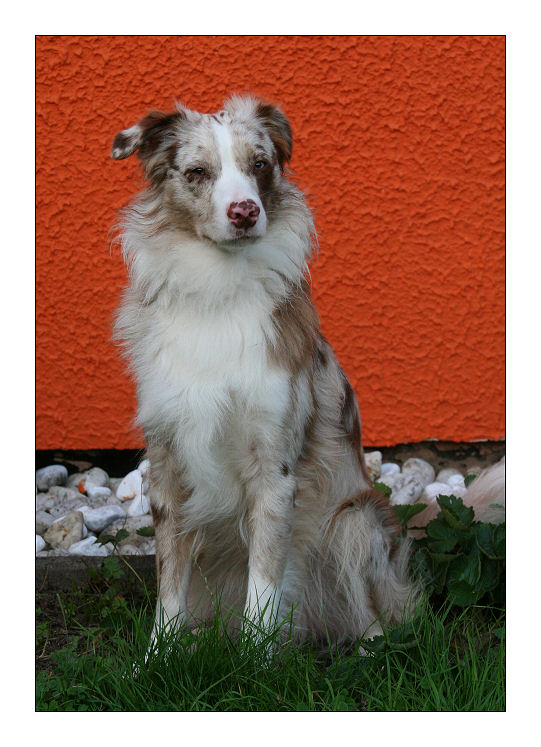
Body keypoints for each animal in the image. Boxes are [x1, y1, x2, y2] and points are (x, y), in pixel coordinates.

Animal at [112, 96, 504, 652]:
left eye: (259, 164)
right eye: (198, 172)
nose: (245, 211)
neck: (219, 289)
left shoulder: (275, 469)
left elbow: (263, 584)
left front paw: (255, 661)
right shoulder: (168, 467)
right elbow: (169, 587)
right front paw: (154, 660)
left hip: (354, 521)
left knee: (376, 618)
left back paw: (366, 651)